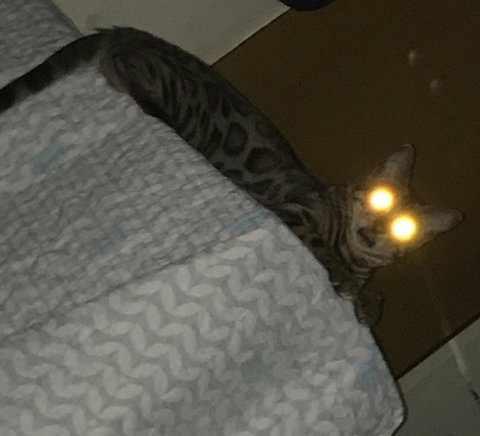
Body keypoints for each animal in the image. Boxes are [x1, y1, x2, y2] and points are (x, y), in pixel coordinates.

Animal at [0, 27, 463, 326]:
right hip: (167, 85)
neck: (351, 248)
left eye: (403, 227)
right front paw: (348, 282)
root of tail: (125, 31)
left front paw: (367, 302)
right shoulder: (293, 211)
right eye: (380, 199)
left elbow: (373, 294)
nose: (372, 232)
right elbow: (324, 251)